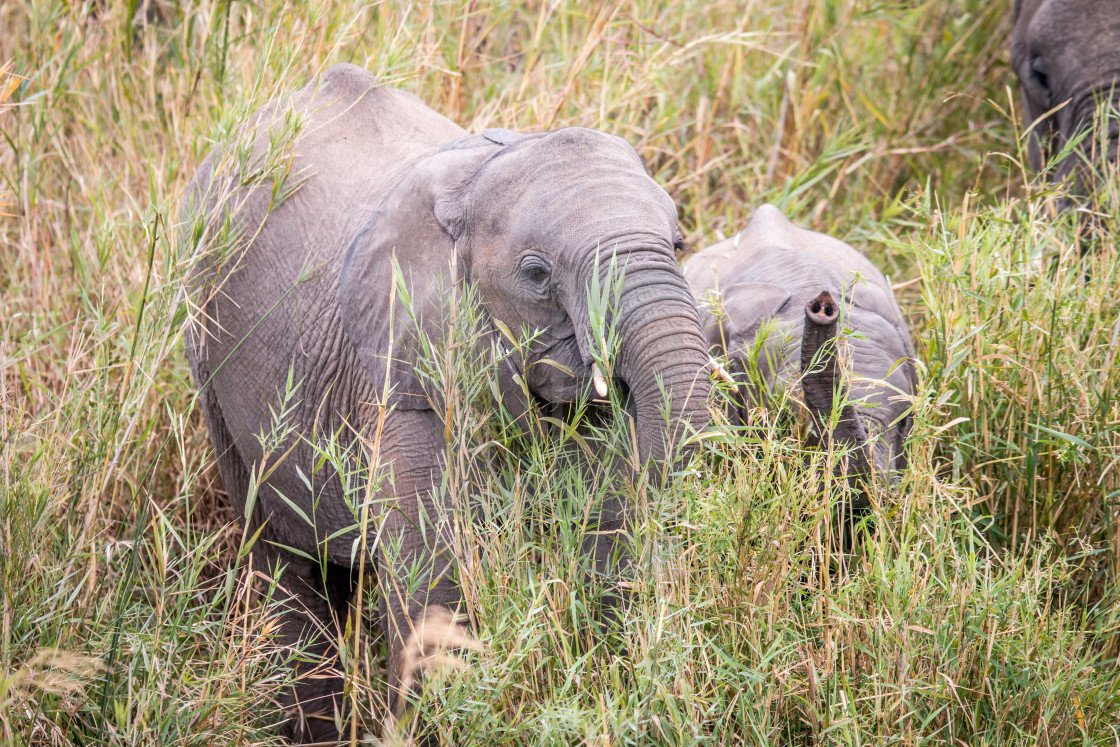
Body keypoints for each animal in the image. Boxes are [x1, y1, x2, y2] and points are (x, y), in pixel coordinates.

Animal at [182, 65, 707, 747]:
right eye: (536, 273)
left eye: (679, 242)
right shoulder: (399, 390)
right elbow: (435, 583)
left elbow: (605, 546)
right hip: (205, 344)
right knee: (285, 560)